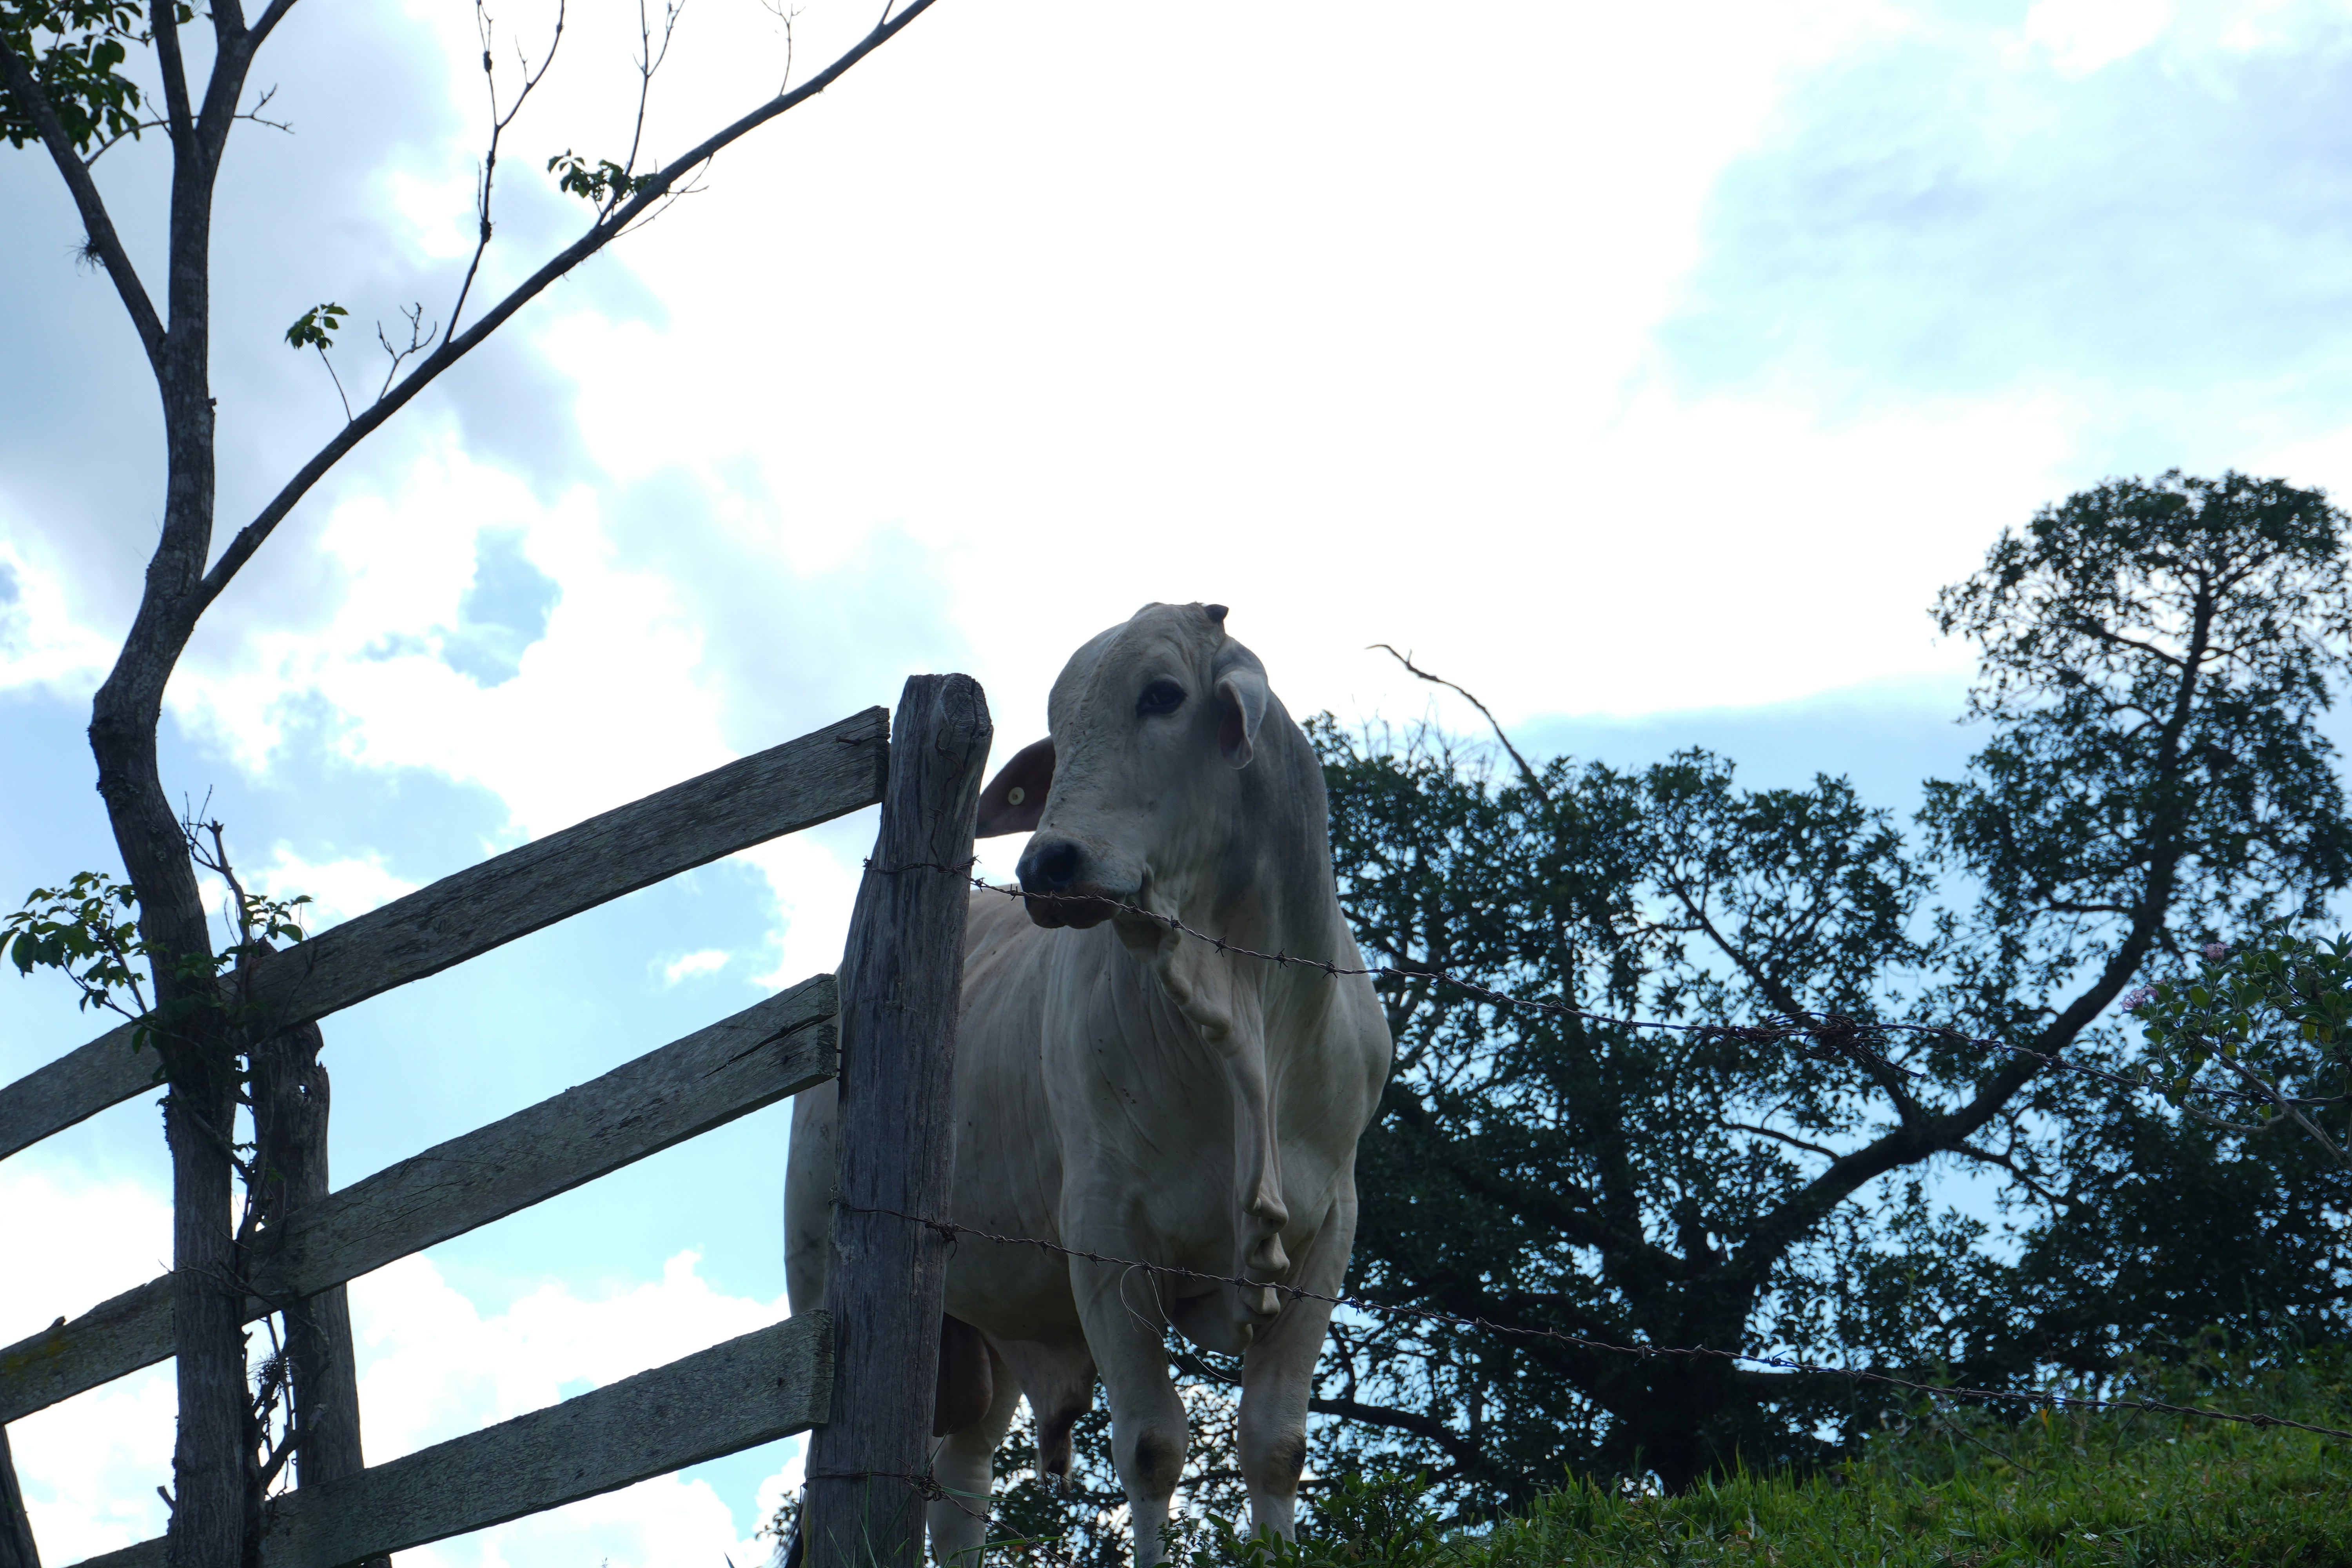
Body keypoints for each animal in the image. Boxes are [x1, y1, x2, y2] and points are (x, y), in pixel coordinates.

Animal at [786, 601, 1393, 1566]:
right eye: (1060, 726)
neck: (1245, 999)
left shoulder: (1328, 1232)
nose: (1048, 867)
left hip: (990, 1328)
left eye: (1164, 695)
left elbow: (1275, 1444)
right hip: (820, 1270)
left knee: (959, 1486)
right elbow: (1153, 1445)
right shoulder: (1107, 1235)